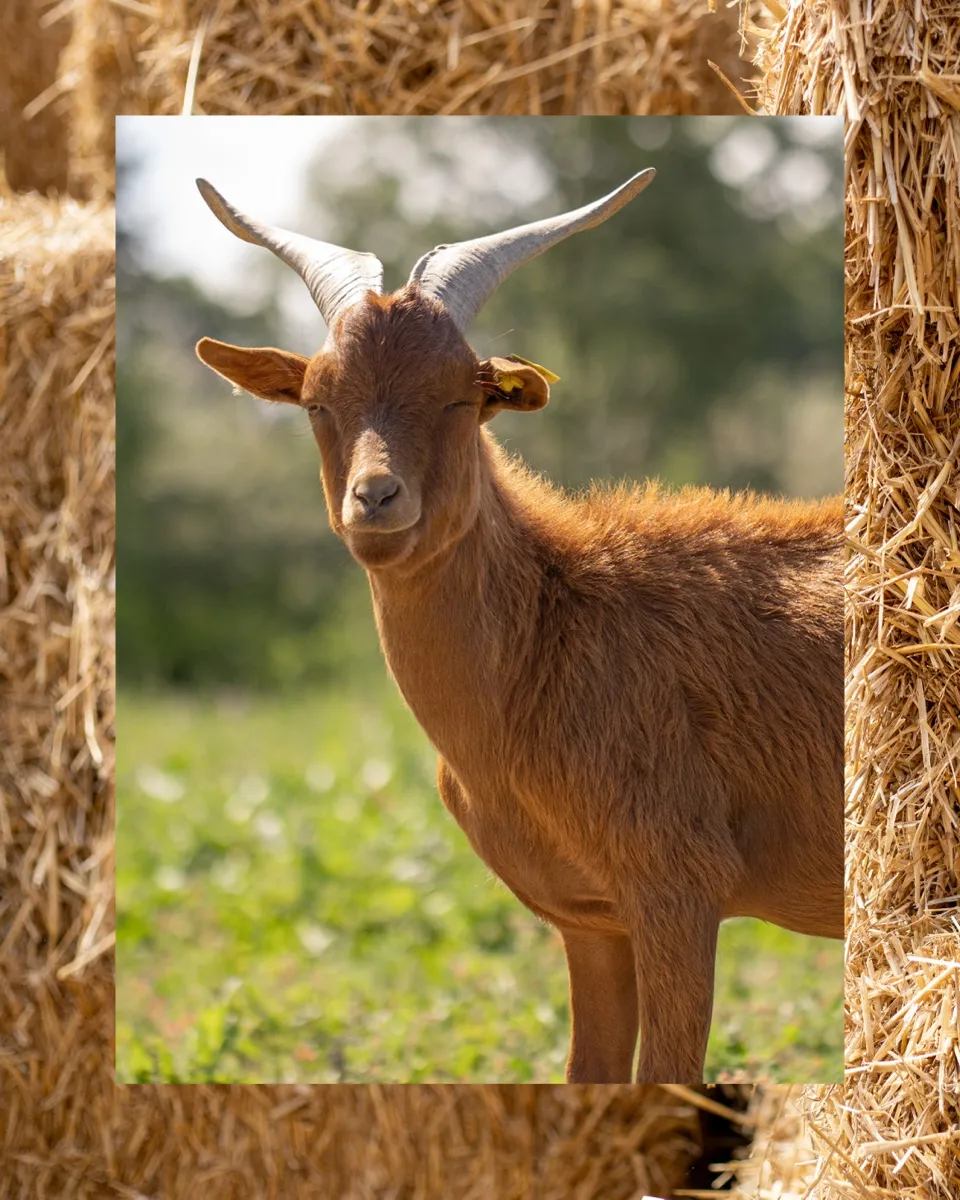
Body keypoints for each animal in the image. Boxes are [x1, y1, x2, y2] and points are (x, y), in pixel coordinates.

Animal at [194, 170, 843, 1084]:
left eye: (464, 394)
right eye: (317, 400)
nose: (376, 499)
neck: (555, 624)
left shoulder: (679, 887)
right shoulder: (589, 919)